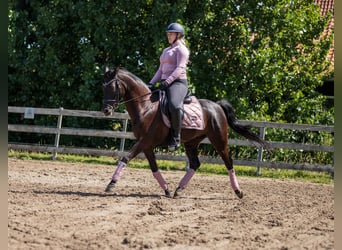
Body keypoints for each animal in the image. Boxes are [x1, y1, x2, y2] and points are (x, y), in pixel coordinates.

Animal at [101, 67, 270, 199]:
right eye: (103, 88)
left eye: (113, 87)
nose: (106, 111)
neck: (146, 107)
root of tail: (217, 106)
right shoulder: (147, 145)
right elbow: (154, 168)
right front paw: (167, 190)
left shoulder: (145, 141)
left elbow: (126, 157)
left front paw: (111, 184)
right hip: (191, 143)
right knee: (195, 164)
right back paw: (179, 189)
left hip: (220, 140)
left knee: (229, 162)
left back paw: (238, 191)